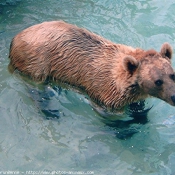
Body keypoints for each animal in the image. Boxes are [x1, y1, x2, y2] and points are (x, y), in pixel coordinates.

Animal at [8, 20, 175, 110]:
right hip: (37, 62)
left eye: (172, 75)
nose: (174, 96)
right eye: (158, 81)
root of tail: (15, 38)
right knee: (35, 85)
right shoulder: (105, 94)